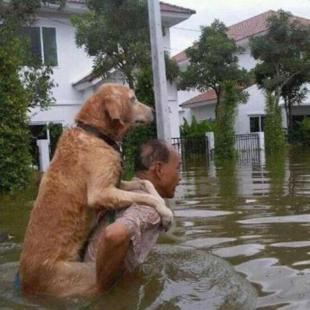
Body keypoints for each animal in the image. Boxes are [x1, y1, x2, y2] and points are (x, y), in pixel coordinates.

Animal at [20, 83, 172, 296]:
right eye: (133, 99)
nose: (153, 110)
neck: (96, 134)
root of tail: (26, 283)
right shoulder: (101, 192)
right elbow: (147, 198)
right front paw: (166, 213)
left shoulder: (115, 183)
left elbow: (145, 184)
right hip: (80, 274)